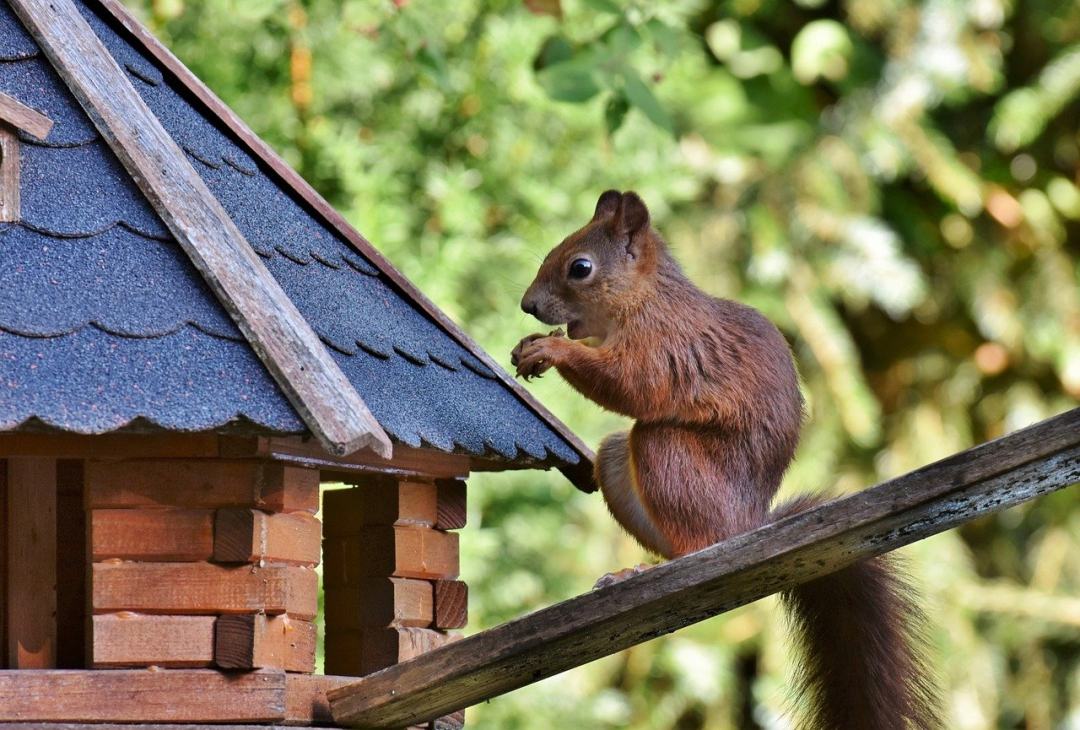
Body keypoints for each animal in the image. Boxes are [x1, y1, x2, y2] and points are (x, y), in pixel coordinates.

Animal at [507, 191, 937, 730]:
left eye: (580, 267)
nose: (528, 305)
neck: (644, 299)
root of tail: (746, 525)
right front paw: (530, 346)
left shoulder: (665, 344)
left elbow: (632, 384)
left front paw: (551, 348)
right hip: (618, 460)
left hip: (668, 455)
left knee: (697, 541)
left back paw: (649, 571)